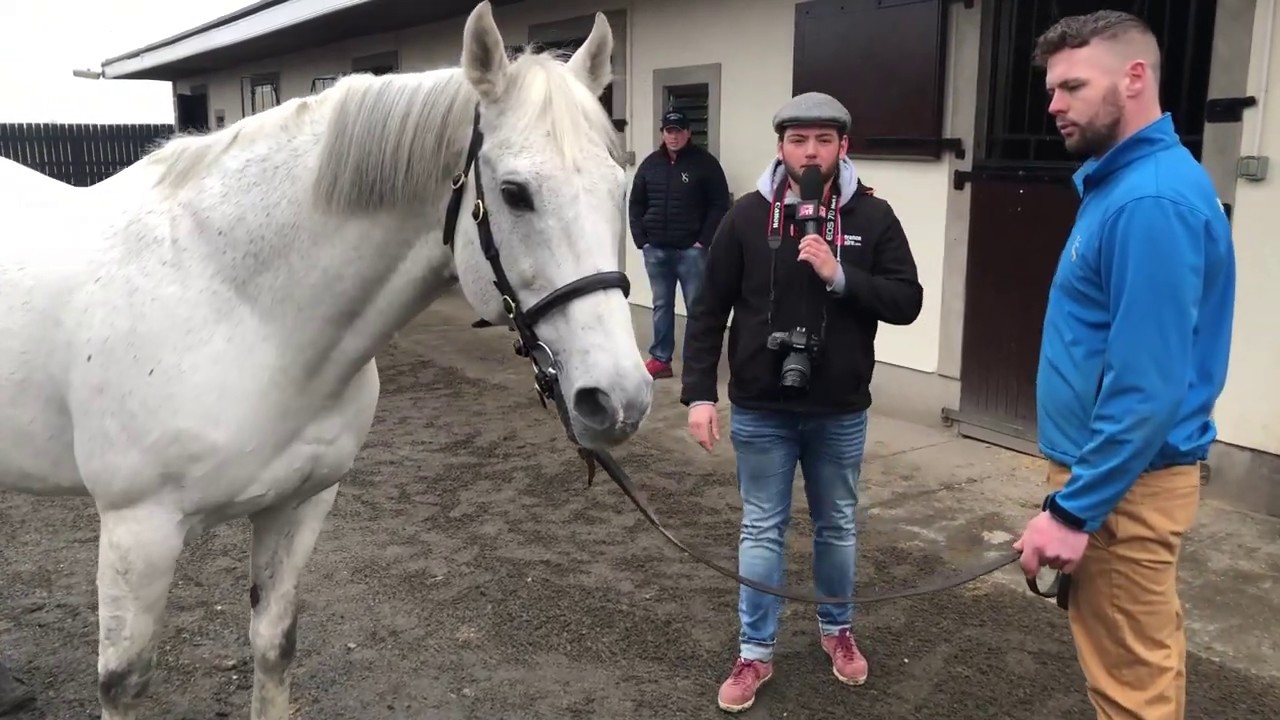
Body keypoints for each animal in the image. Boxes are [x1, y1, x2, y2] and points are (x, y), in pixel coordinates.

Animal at [0, 3, 653, 718]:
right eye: (514, 193)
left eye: (620, 183)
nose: (619, 399)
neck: (241, 308)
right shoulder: (136, 531)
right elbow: (122, 681)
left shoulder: (299, 504)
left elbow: (273, 646)